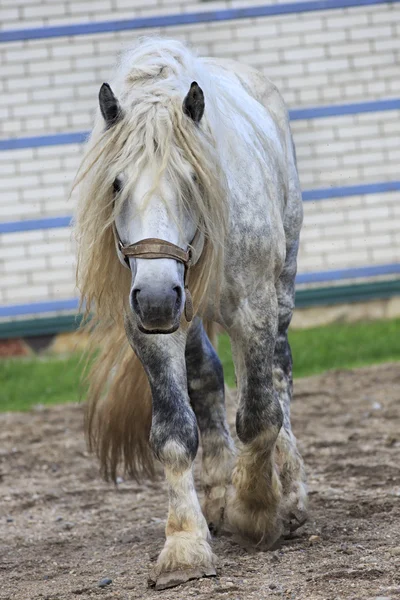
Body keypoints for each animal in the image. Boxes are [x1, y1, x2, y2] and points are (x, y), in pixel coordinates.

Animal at [74, 38, 306, 592]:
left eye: (192, 180)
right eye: (116, 184)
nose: (158, 297)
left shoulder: (253, 309)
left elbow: (259, 414)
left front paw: (257, 509)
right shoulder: (152, 329)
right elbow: (175, 431)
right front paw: (185, 546)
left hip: (281, 286)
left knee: (281, 374)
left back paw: (288, 490)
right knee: (206, 378)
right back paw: (220, 493)